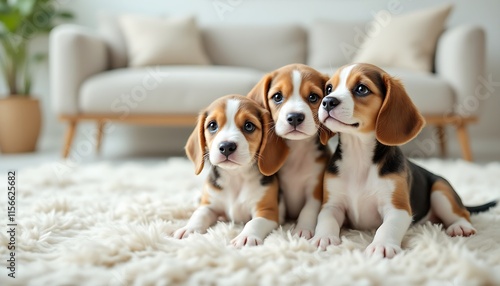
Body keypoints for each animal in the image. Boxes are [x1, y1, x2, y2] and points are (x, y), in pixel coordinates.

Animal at [174, 95, 288, 247]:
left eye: (249, 126)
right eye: (212, 125)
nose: (227, 146)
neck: (236, 176)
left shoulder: (267, 211)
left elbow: (254, 222)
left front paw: (246, 236)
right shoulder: (209, 206)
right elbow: (199, 215)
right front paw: (189, 229)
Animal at [248, 63, 334, 238]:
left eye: (313, 97)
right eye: (277, 97)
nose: (295, 117)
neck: (297, 151)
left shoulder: (315, 189)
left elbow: (308, 210)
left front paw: (302, 229)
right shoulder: (279, 188)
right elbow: (279, 206)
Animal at [312, 63, 496, 258]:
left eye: (361, 89)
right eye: (329, 89)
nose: (328, 101)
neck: (358, 155)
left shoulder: (397, 208)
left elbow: (386, 227)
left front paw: (382, 245)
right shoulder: (332, 205)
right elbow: (326, 221)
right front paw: (324, 238)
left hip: (440, 190)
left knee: (462, 213)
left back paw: (461, 227)